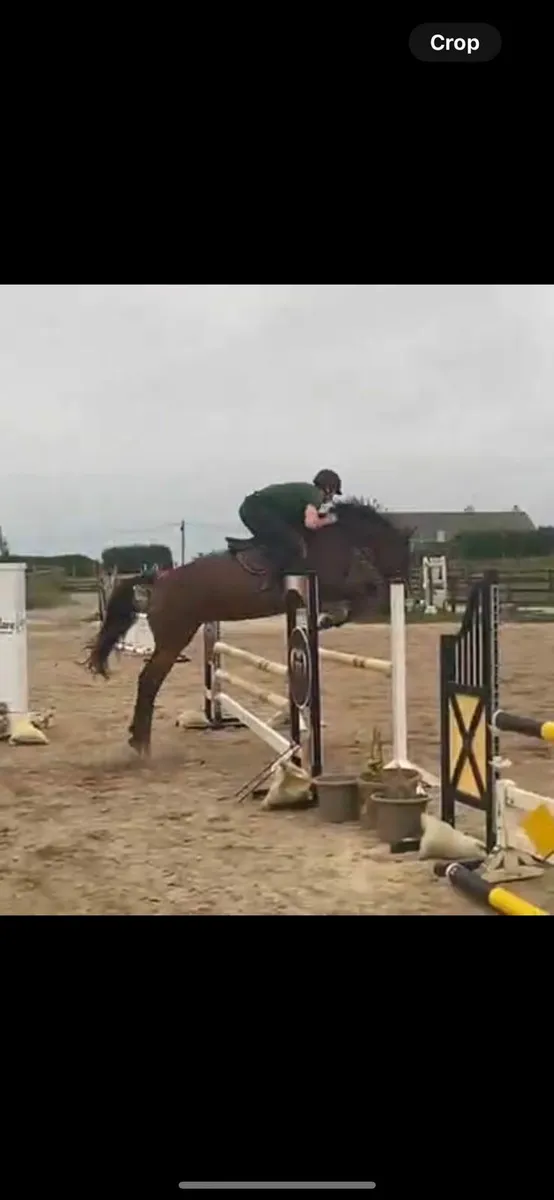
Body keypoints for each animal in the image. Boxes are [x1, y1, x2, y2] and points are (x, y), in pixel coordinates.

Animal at [86, 499, 412, 755]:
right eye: (401, 551)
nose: (404, 584)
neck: (337, 538)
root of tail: (159, 580)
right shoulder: (329, 584)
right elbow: (365, 592)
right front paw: (328, 619)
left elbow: (364, 593)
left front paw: (328, 619)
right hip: (174, 638)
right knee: (149, 681)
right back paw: (141, 743)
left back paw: (138, 740)